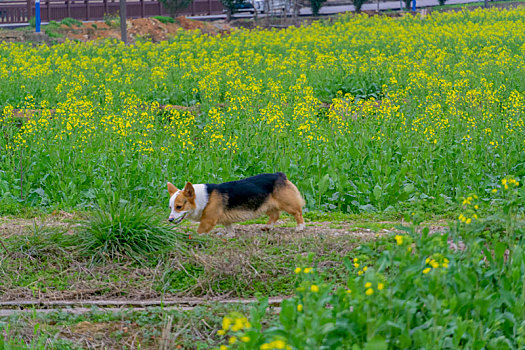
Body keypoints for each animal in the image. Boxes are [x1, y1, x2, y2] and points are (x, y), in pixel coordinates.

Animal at [168, 173, 304, 235]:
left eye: (179, 207)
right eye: (170, 207)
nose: (169, 220)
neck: (202, 198)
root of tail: (280, 174)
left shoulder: (208, 220)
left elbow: (200, 231)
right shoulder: (225, 218)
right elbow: (229, 227)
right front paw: (230, 235)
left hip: (287, 204)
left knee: (298, 213)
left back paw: (300, 227)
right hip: (267, 205)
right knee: (275, 215)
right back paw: (267, 227)